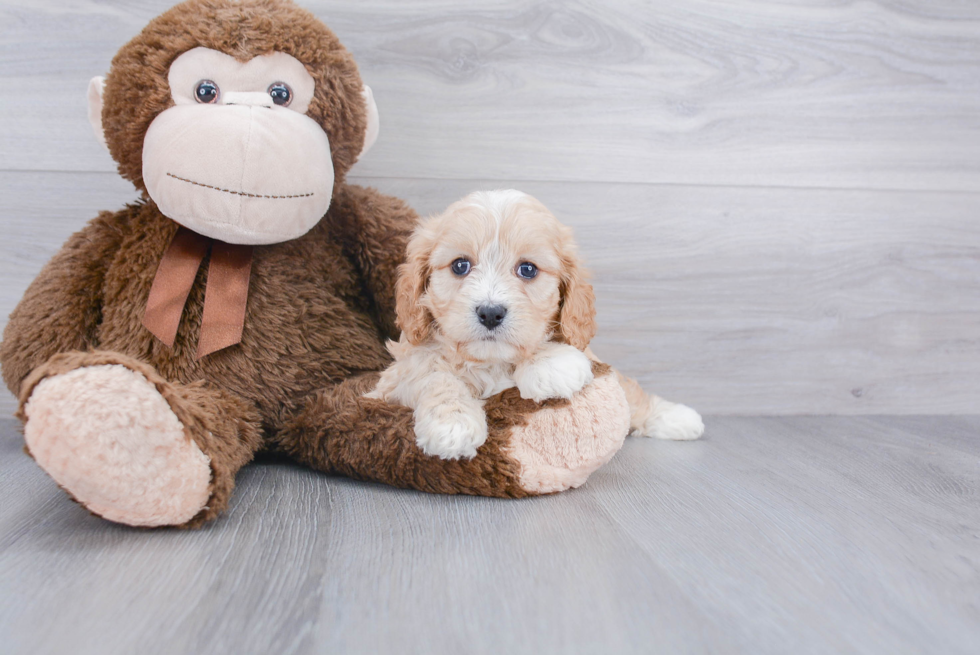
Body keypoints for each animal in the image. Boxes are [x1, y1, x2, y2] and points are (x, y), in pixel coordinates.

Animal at [368, 190, 704, 462]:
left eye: (528, 269)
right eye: (460, 266)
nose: (490, 313)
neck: (492, 363)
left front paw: (551, 364)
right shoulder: (395, 378)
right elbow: (434, 375)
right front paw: (453, 424)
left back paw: (678, 417)